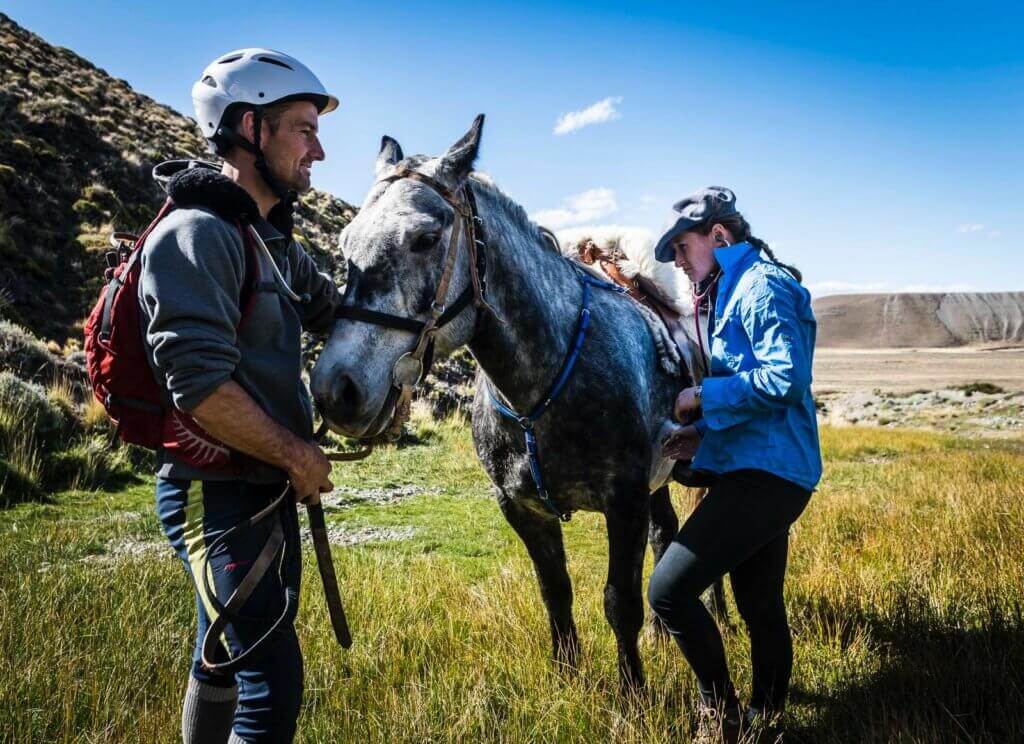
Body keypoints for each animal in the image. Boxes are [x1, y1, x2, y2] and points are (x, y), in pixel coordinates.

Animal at [311, 116, 712, 691]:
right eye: (345, 241)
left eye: (425, 238)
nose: (335, 389)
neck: (539, 391)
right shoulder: (523, 509)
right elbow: (555, 593)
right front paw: (569, 682)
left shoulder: (624, 502)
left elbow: (620, 603)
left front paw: (633, 694)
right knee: (665, 533)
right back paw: (662, 634)